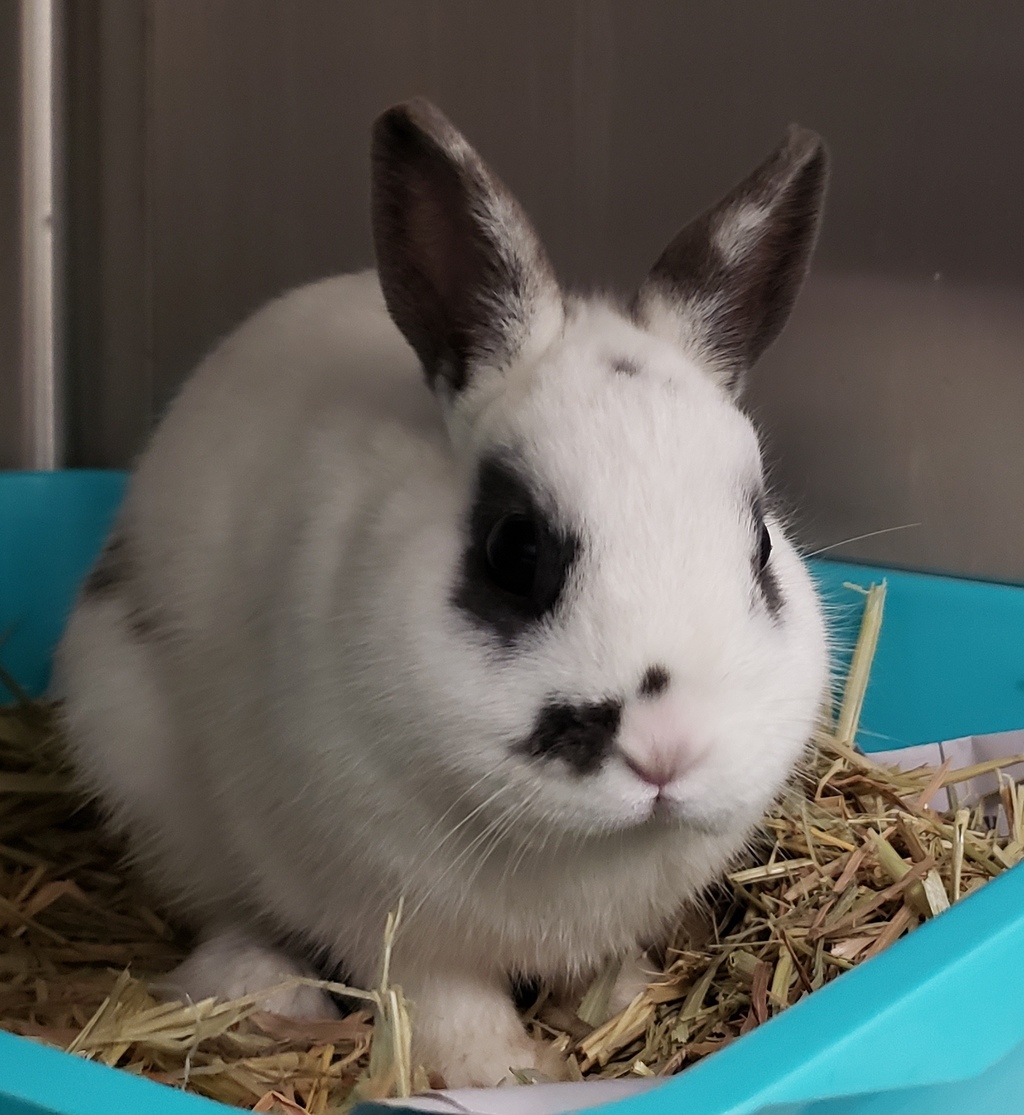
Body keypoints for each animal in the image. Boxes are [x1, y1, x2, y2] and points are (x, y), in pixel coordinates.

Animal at [53, 98, 830, 1088]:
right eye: (514, 549)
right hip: (147, 774)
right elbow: (448, 1005)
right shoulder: (398, 923)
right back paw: (267, 988)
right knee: (225, 905)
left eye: (761, 542)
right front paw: (511, 1074)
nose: (667, 751)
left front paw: (617, 1004)